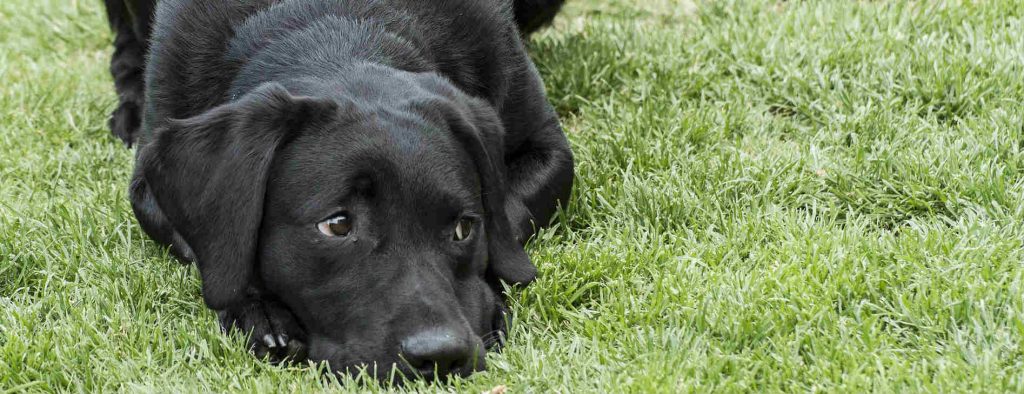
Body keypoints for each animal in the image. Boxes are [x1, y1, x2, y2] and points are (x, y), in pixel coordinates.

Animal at [101, 0, 577, 380]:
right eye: (337, 225)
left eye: (463, 228)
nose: (441, 356)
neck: (335, 29)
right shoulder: (148, 183)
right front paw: (260, 312)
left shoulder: (548, 146)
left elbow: (507, 219)